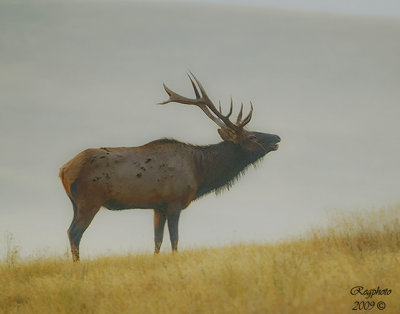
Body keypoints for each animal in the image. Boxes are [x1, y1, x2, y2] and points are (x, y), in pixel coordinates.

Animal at [59, 73, 280, 260]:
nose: (277, 137)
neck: (199, 172)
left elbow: (157, 240)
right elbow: (175, 239)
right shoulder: (175, 201)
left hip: (75, 203)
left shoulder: (159, 206)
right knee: (74, 233)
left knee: (70, 231)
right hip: (90, 200)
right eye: (252, 137)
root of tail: (63, 170)